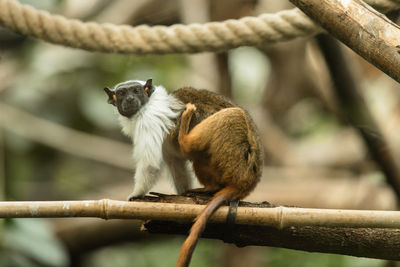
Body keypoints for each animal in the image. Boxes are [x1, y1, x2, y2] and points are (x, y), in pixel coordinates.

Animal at [104, 79, 264, 267]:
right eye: (122, 93)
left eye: (136, 91)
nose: (129, 99)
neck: (146, 105)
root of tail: (248, 181)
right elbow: (175, 163)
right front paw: (182, 195)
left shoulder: (148, 121)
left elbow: (150, 164)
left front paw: (136, 195)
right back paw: (209, 186)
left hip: (234, 159)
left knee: (234, 114)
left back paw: (185, 137)